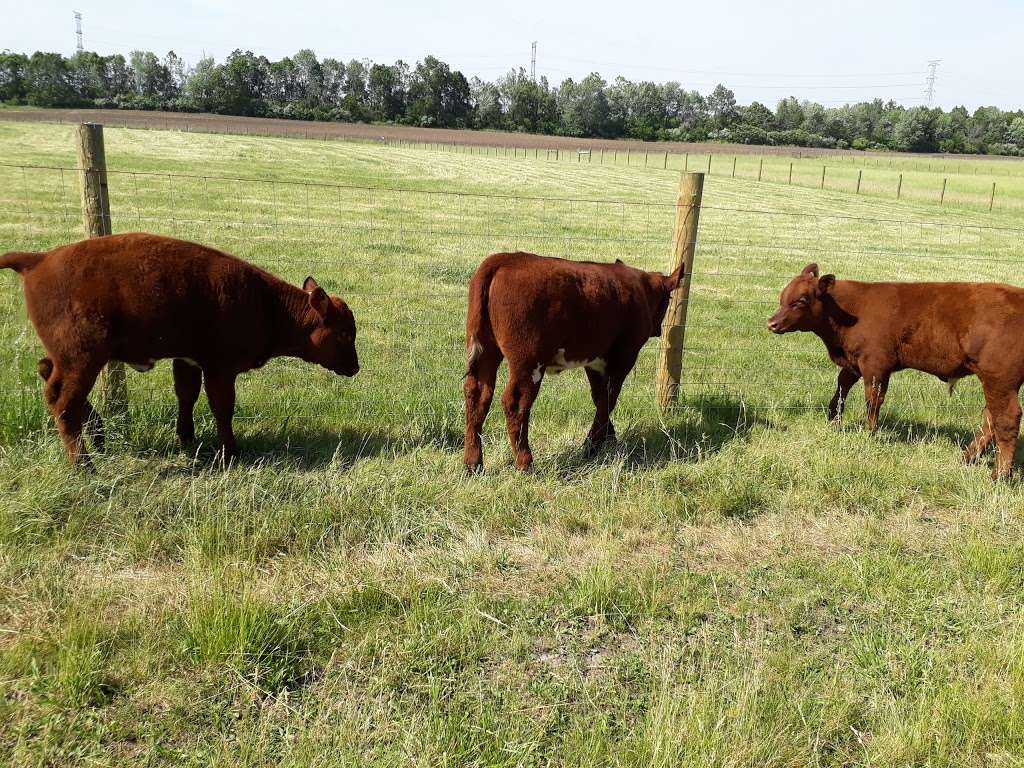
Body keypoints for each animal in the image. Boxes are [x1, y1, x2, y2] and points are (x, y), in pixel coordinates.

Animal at [1, 233, 360, 462]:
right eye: (345, 333)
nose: (355, 367)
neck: (266, 303)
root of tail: (39, 260)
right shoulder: (220, 367)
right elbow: (222, 407)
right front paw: (230, 452)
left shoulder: (187, 359)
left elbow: (186, 395)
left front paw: (186, 437)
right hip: (82, 359)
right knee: (63, 402)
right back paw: (84, 465)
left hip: (71, 358)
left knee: (47, 374)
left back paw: (99, 436)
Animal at [462, 252, 679, 473]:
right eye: (669, 299)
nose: (659, 330)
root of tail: (504, 259)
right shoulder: (623, 357)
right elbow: (609, 399)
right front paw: (592, 446)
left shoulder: (595, 362)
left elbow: (599, 398)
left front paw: (607, 439)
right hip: (528, 361)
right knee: (515, 403)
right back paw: (525, 463)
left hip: (486, 351)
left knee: (477, 395)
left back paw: (473, 464)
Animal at [770, 264, 1024, 481]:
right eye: (783, 297)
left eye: (801, 300)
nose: (771, 322)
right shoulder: (854, 362)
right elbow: (841, 386)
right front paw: (833, 419)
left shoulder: (875, 364)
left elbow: (873, 400)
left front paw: (870, 433)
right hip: (996, 382)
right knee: (990, 419)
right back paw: (967, 458)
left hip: (999, 379)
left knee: (1006, 419)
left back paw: (999, 475)